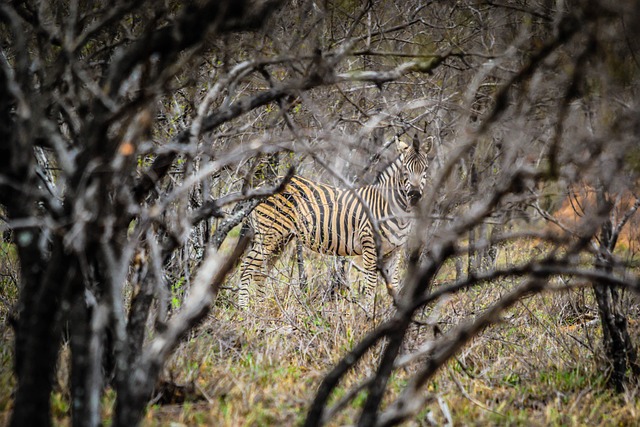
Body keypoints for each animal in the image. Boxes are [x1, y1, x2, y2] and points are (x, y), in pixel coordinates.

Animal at [238, 134, 432, 308]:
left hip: (281, 238)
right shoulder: (369, 248)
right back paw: (244, 311)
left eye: (425, 169)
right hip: (268, 235)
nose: (415, 196)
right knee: (247, 267)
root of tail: (262, 184)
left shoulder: (395, 251)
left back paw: (262, 309)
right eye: (405, 170)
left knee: (261, 272)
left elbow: (394, 286)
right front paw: (367, 318)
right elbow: (370, 287)